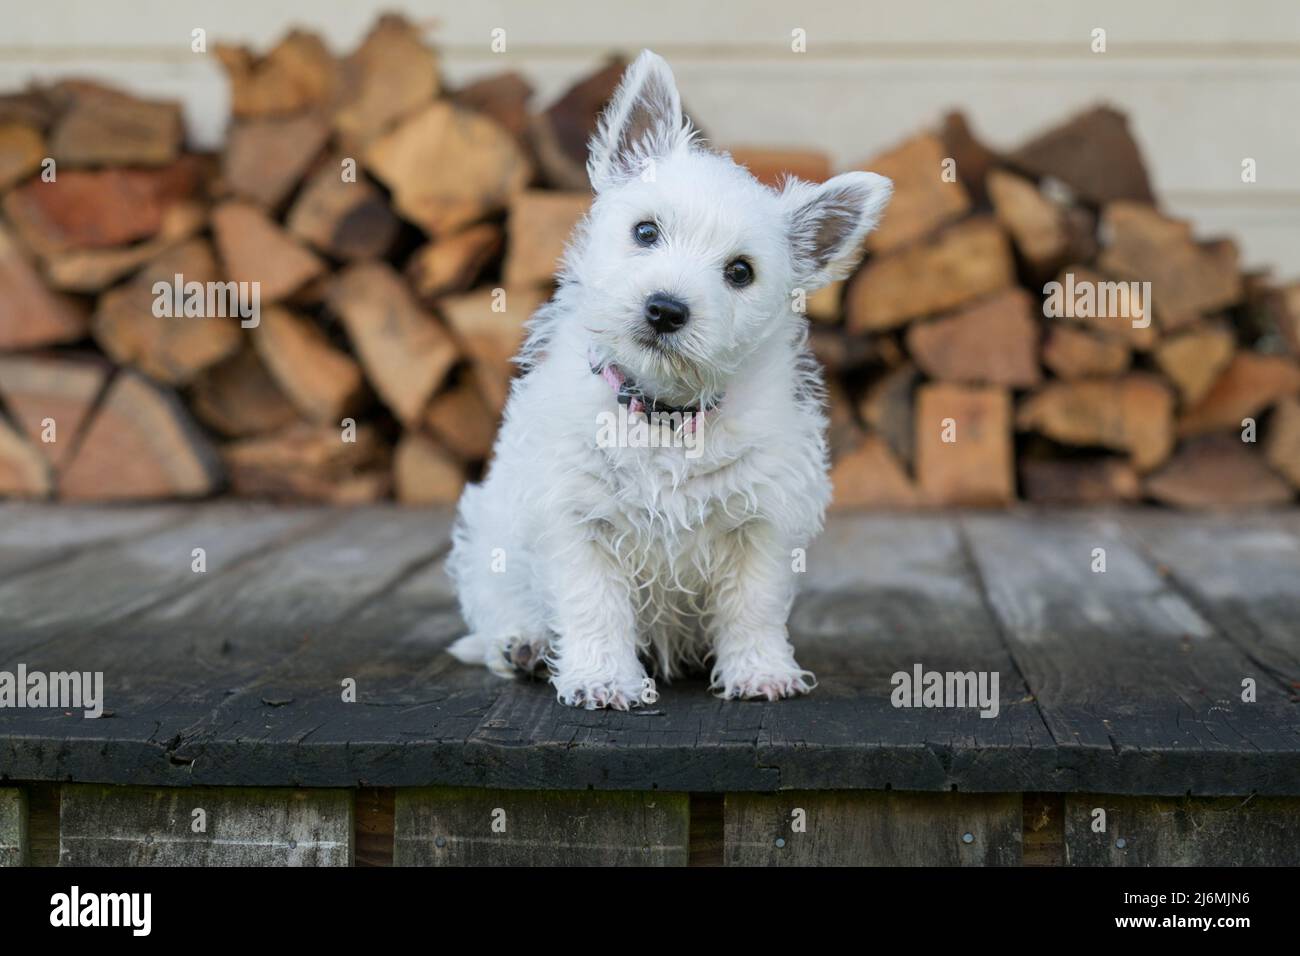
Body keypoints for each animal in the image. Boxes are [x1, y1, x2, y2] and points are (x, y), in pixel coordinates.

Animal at [449, 52, 894, 712]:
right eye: (645, 232)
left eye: (740, 272)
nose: (665, 309)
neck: (664, 412)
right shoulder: (576, 519)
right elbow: (593, 605)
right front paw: (605, 680)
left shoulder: (761, 521)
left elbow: (753, 606)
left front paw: (760, 672)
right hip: (489, 532)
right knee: (497, 602)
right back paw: (522, 644)